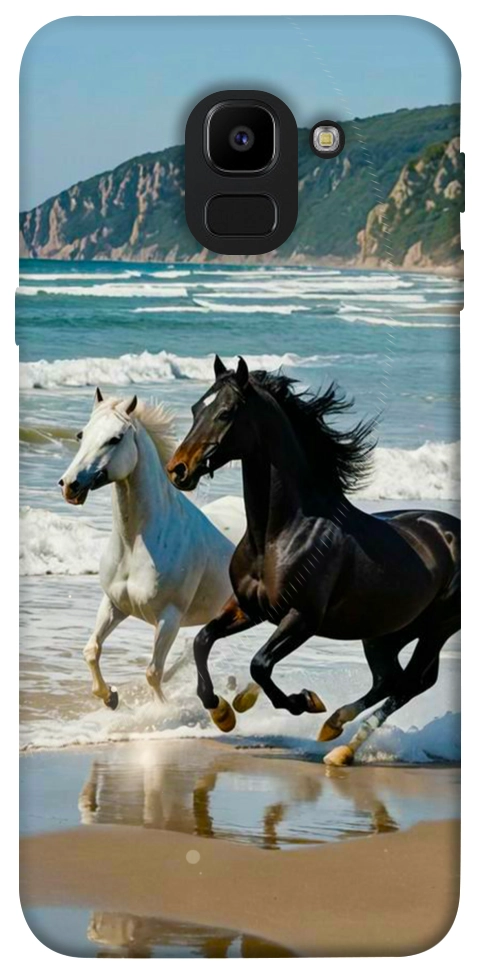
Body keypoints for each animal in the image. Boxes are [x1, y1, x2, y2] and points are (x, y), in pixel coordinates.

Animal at [59, 387, 234, 709]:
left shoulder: (169, 618)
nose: (69, 485)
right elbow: (92, 650)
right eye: (81, 434)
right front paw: (110, 697)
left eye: (115, 438)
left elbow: (153, 672)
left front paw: (161, 711)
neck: (135, 544)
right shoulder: (114, 604)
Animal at [166, 356, 460, 765]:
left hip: (436, 628)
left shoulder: (302, 618)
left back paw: (341, 746)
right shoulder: (248, 608)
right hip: (386, 632)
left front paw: (303, 701)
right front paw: (223, 711)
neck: (280, 534)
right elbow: (202, 640)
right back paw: (334, 729)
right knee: (390, 679)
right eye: (197, 409)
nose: (177, 469)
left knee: (411, 683)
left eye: (225, 413)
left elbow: (260, 664)